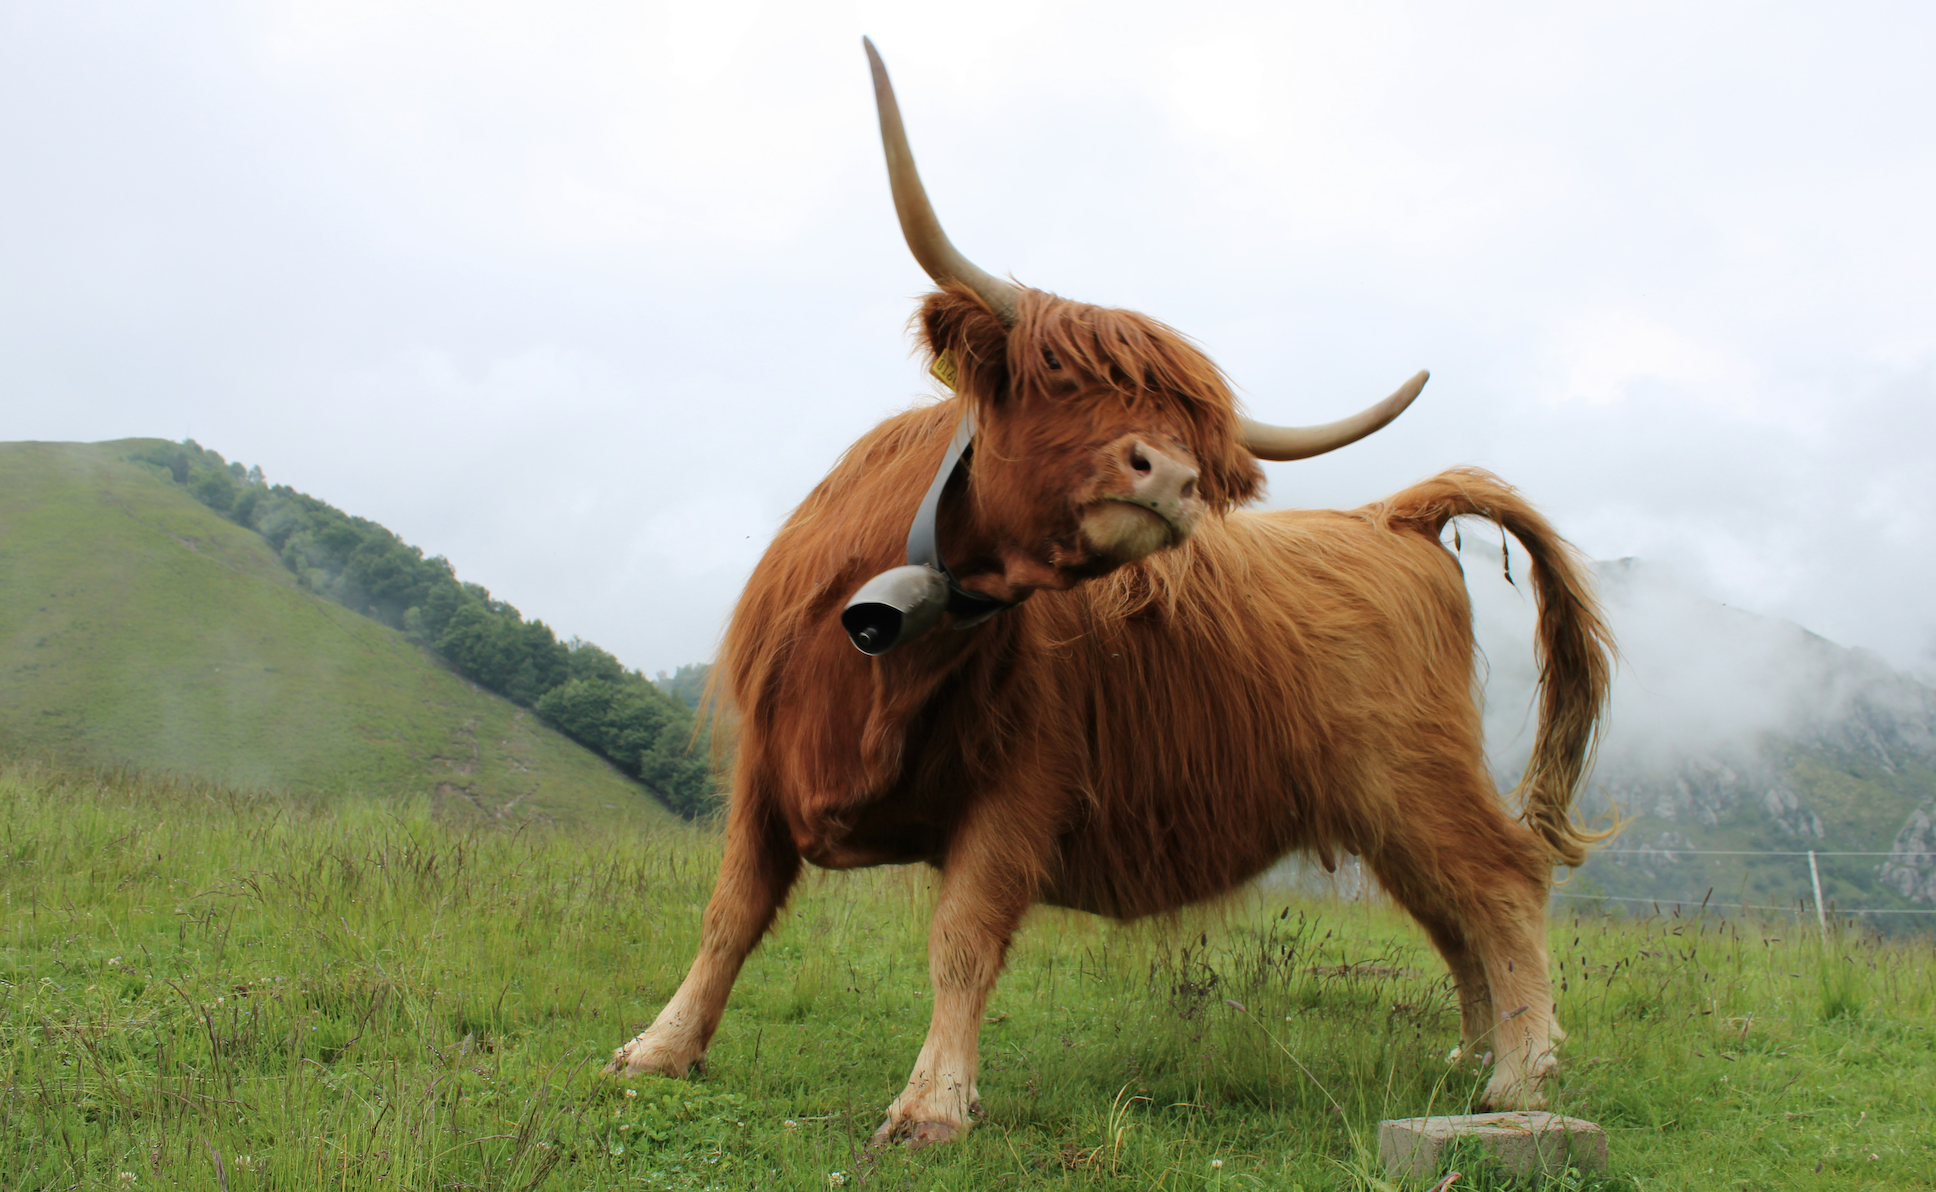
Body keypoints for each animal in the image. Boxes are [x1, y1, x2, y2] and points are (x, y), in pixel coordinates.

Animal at [607, 40, 1615, 1147]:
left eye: (1195, 437)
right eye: (1058, 380)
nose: (1172, 476)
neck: (891, 651)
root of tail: (1393, 512)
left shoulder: (1021, 781)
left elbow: (963, 935)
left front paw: (931, 1104)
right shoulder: (765, 763)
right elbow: (731, 911)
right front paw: (659, 1049)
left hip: (1416, 772)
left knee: (1500, 882)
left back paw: (1520, 1077)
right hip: (1384, 803)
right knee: (1451, 913)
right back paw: (1471, 1058)